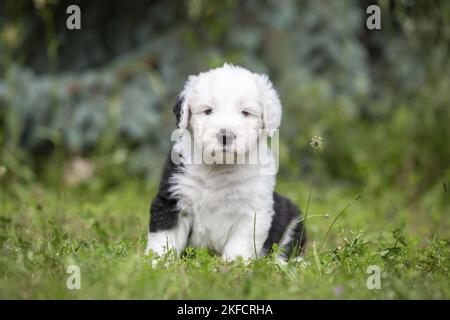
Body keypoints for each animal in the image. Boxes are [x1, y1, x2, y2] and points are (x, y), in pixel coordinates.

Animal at [144, 63, 306, 262]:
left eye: (245, 112)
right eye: (208, 110)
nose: (225, 135)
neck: (219, 167)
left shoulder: (252, 211)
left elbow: (239, 245)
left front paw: (231, 266)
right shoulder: (173, 198)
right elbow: (164, 238)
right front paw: (156, 263)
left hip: (293, 220)